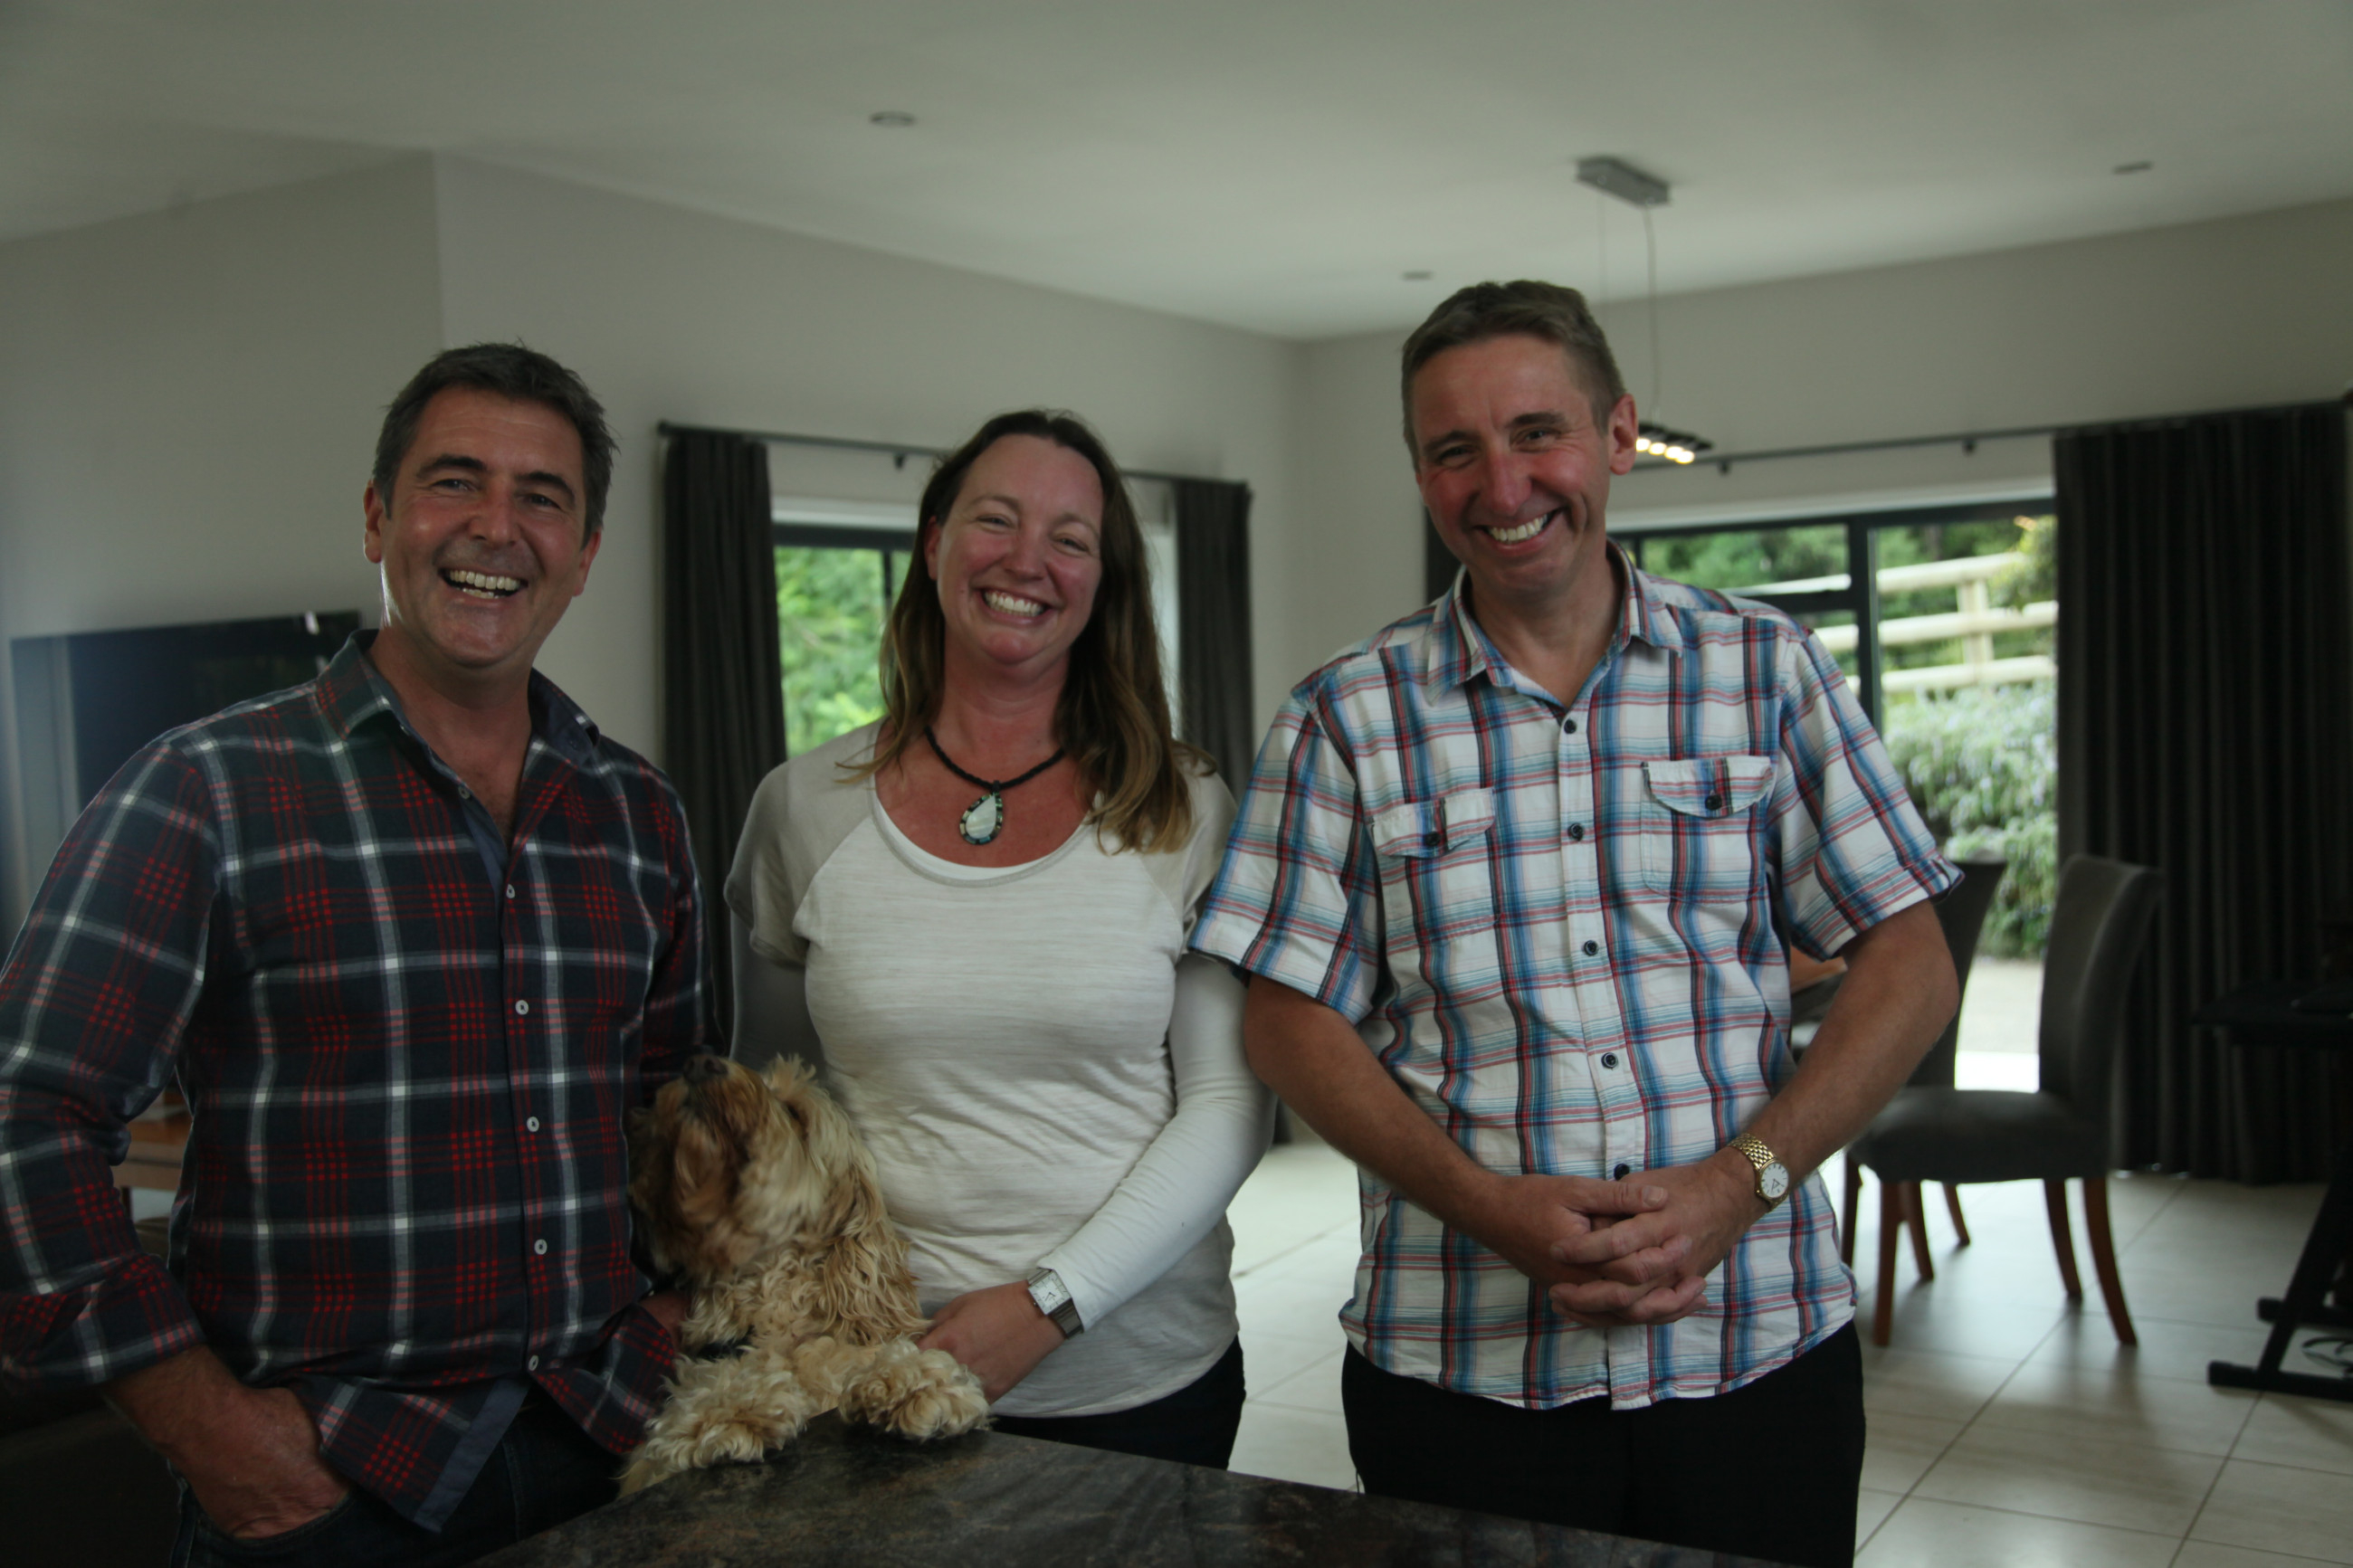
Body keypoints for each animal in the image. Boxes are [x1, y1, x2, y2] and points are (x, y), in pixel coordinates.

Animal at [616, 1048, 983, 1495]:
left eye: (794, 1113)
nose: (700, 1062)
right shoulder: (652, 1461)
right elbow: (694, 1404)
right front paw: (740, 1405)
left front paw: (914, 1382)